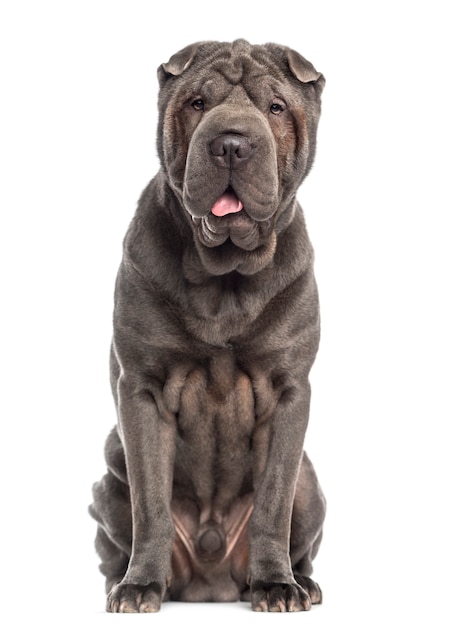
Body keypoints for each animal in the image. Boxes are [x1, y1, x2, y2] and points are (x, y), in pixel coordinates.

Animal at [89, 40, 326, 616]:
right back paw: (125, 581)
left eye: (276, 107)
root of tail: (212, 582)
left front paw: (276, 586)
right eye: (198, 103)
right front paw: (139, 588)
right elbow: (151, 505)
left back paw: (302, 584)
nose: (232, 144)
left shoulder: (288, 395)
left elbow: (272, 504)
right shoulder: (143, 390)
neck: (225, 276)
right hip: (108, 474)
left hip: (311, 486)